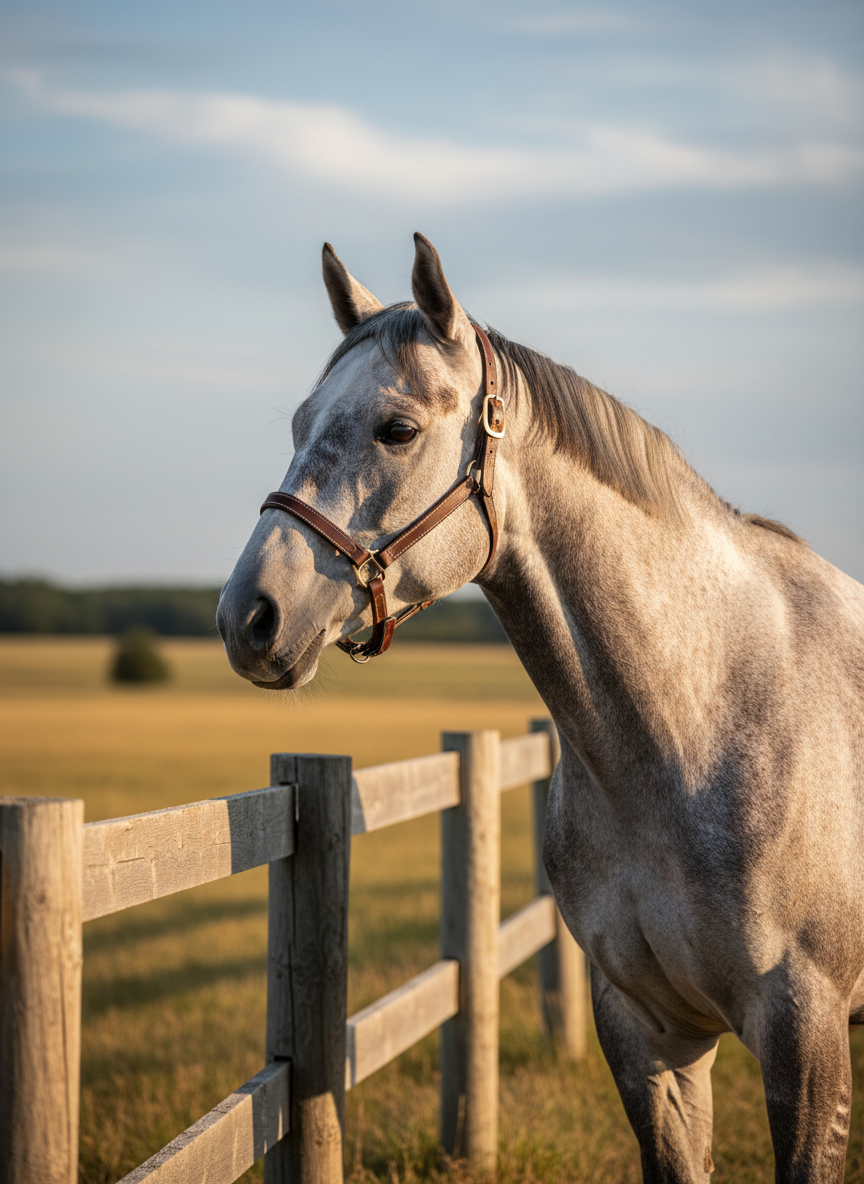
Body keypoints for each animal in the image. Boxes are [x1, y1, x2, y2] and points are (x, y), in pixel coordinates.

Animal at [217, 234, 864, 1182]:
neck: (701, 727)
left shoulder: (807, 1042)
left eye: (397, 429)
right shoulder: (647, 1036)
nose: (247, 617)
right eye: (300, 424)